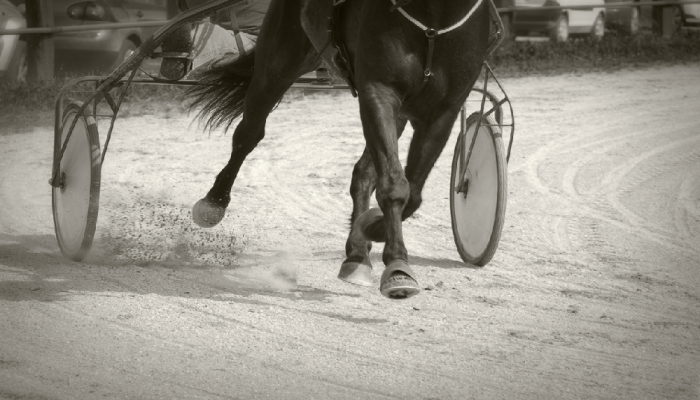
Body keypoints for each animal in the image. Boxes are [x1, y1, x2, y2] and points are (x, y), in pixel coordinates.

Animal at [186, 0, 492, 300]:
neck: (434, 20)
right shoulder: (377, 90)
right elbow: (394, 187)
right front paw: (396, 264)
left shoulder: (442, 111)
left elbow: (412, 194)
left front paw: (371, 230)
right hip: (279, 60)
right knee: (248, 133)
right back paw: (214, 202)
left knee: (364, 173)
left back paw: (357, 254)